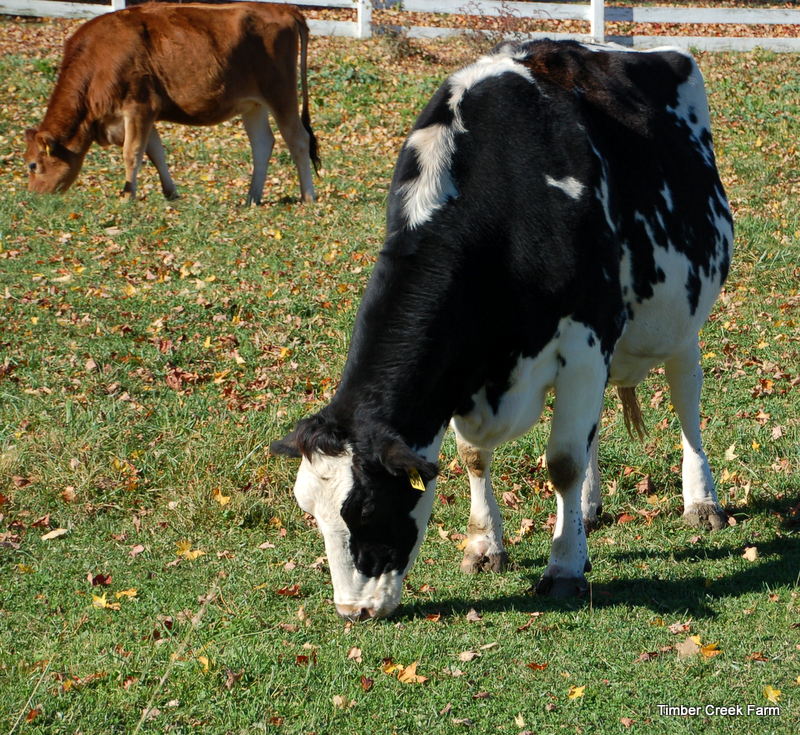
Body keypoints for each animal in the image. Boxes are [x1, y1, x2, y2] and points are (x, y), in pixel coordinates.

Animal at [24, 2, 319, 204]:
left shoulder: (139, 106)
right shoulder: (147, 113)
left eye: (33, 165)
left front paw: (127, 196)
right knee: (262, 143)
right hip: (253, 104)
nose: (34, 197)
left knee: (298, 139)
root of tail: (282, 8)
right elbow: (155, 152)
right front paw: (170, 193)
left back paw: (307, 196)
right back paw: (252, 198)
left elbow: (132, 153)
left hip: (280, 93)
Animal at [271, 40, 733, 620]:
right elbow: (475, 455)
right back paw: (588, 508)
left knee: (685, 400)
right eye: (310, 511)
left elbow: (562, 461)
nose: (353, 612)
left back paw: (701, 500)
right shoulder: (469, 367)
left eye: (368, 508)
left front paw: (564, 568)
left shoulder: (585, 339)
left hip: (681, 319)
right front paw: (485, 545)